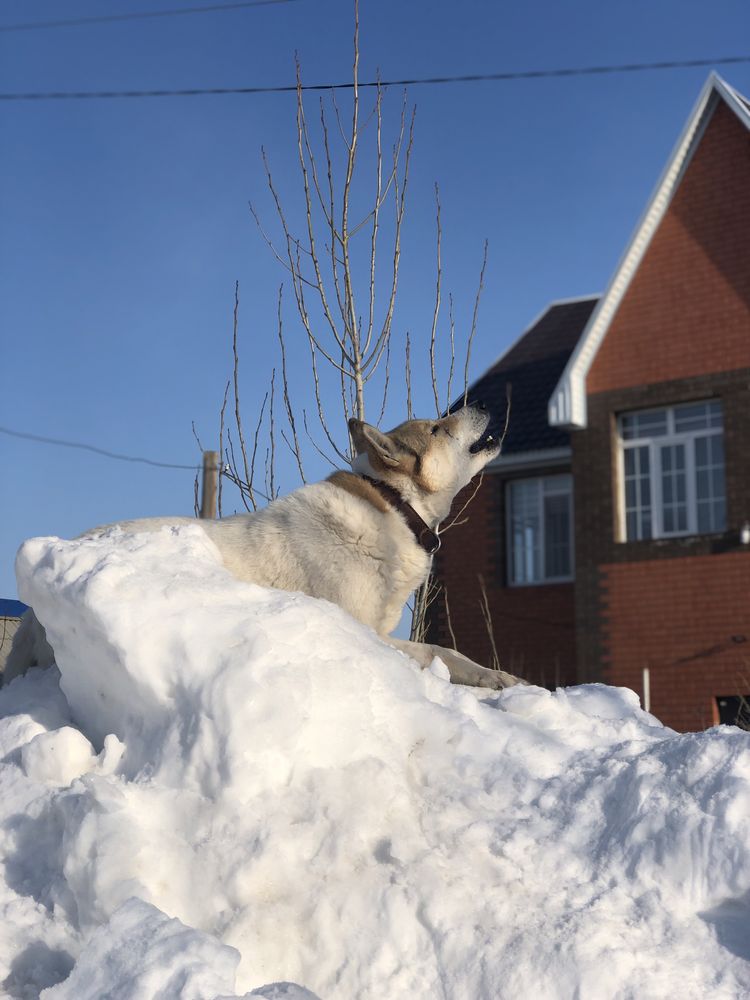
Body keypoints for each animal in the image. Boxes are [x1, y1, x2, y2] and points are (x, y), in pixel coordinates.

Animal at [7, 402, 524, 692]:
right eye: (438, 428)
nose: (480, 403)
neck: (394, 506)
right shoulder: (365, 633)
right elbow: (429, 653)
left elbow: (447, 651)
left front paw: (501, 678)